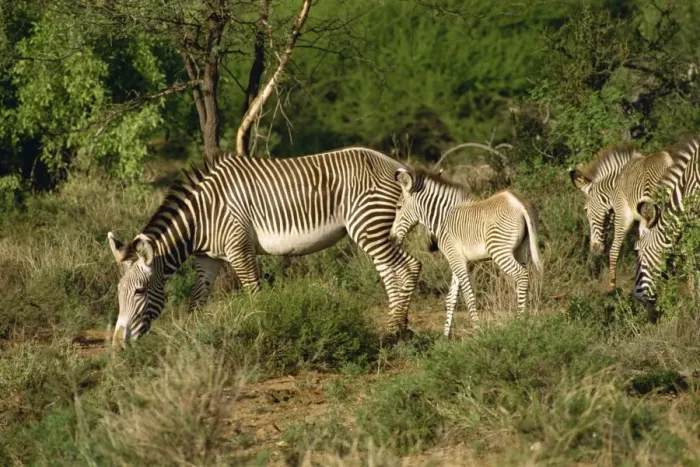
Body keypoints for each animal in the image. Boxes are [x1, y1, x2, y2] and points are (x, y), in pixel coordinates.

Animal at [107, 147, 422, 347]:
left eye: (139, 291)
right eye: (119, 292)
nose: (117, 345)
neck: (202, 216)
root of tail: (396, 165)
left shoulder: (239, 249)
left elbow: (254, 294)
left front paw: (264, 331)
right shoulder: (207, 259)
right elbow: (197, 299)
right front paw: (192, 339)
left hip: (368, 225)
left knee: (408, 266)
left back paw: (395, 332)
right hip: (377, 228)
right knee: (392, 272)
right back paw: (401, 328)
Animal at [388, 167, 541, 337]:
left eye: (398, 207)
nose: (391, 239)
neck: (443, 218)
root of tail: (517, 202)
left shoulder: (456, 258)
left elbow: (468, 295)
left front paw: (478, 330)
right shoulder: (457, 258)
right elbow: (451, 298)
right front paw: (445, 336)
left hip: (500, 251)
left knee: (521, 275)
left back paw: (520, 322)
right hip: (522, 250)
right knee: (524, 279)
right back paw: (523, 318)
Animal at [569, 144, 674, 291]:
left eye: (586, 210)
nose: (594, 249)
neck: (614, 185)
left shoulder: (623, 213)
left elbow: (614, 250)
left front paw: (611, 286)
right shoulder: (642, 220)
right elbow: (643, 244)